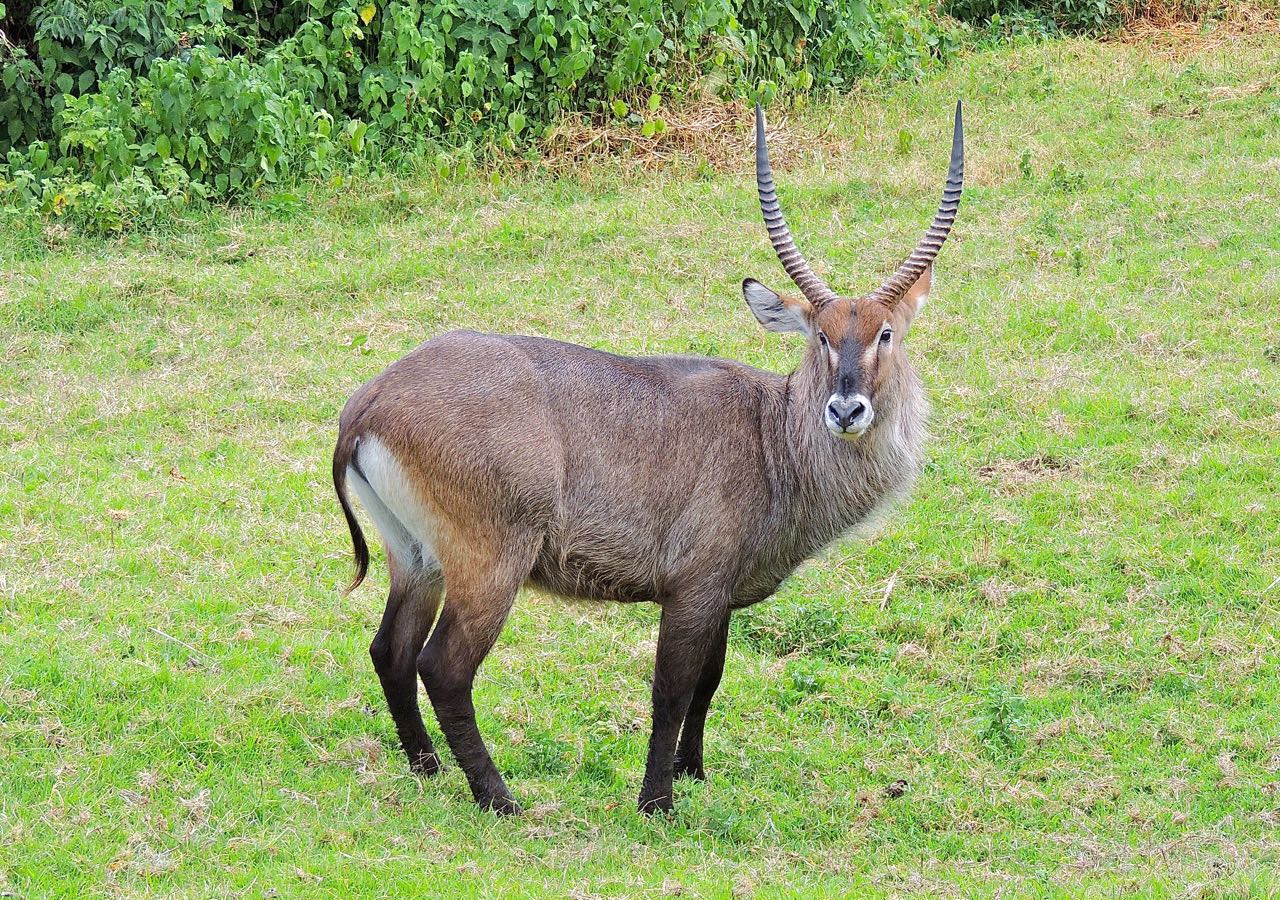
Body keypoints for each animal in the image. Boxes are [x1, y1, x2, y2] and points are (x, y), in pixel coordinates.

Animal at [335, 102, 962, 814]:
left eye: (885, 333)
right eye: (821, 338)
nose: (846, 410)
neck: (770, 435)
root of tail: (371, 400)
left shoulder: (721, 595)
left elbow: (709, 682)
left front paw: (693, 771)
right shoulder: (693, 588)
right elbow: (671, 689)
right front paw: (657, 800)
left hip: (416, 557)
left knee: (390, 650)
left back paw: (427, 767)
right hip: (489, 561)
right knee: (442, 667)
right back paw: (499, 798)